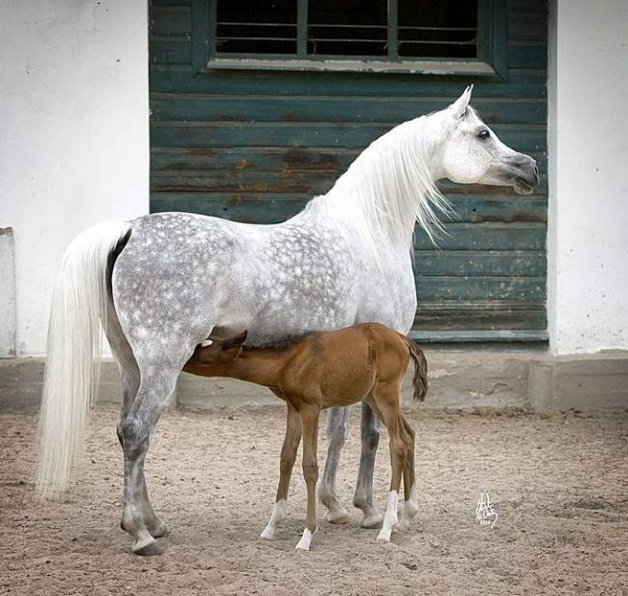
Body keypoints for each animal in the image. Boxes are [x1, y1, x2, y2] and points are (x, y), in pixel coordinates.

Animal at [182, 324, 426, 552]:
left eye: (202, 355)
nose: (182, 361)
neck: (289, 361)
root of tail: (401, 338)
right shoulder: (293, 408)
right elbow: (286, 458)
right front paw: (270, 528)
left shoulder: (311, 408)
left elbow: (309, 466)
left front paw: (307, 536)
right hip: (372, 396)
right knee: (408, 435)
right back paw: (407, 516)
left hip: (386, 393)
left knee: (398, 445)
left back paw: (387, 527)